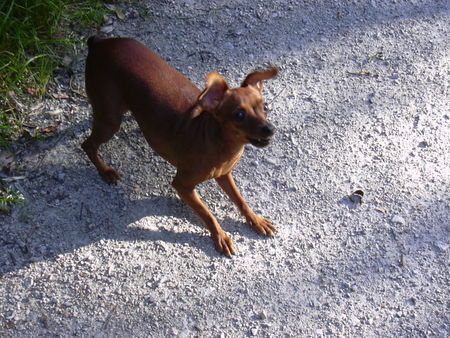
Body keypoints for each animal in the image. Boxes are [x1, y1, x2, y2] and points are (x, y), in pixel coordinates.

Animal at [82, 36, 276, 256]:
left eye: (266, 107)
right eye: (239, 115)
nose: (270, 129)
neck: (220, 144)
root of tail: (99, 42)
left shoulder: (224, 174)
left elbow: (241, 200)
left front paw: (256, 221)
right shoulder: (182, 186)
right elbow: (207, 213)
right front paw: (220, 236)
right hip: (111, 121)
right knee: (87, 145)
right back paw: (106, 171)